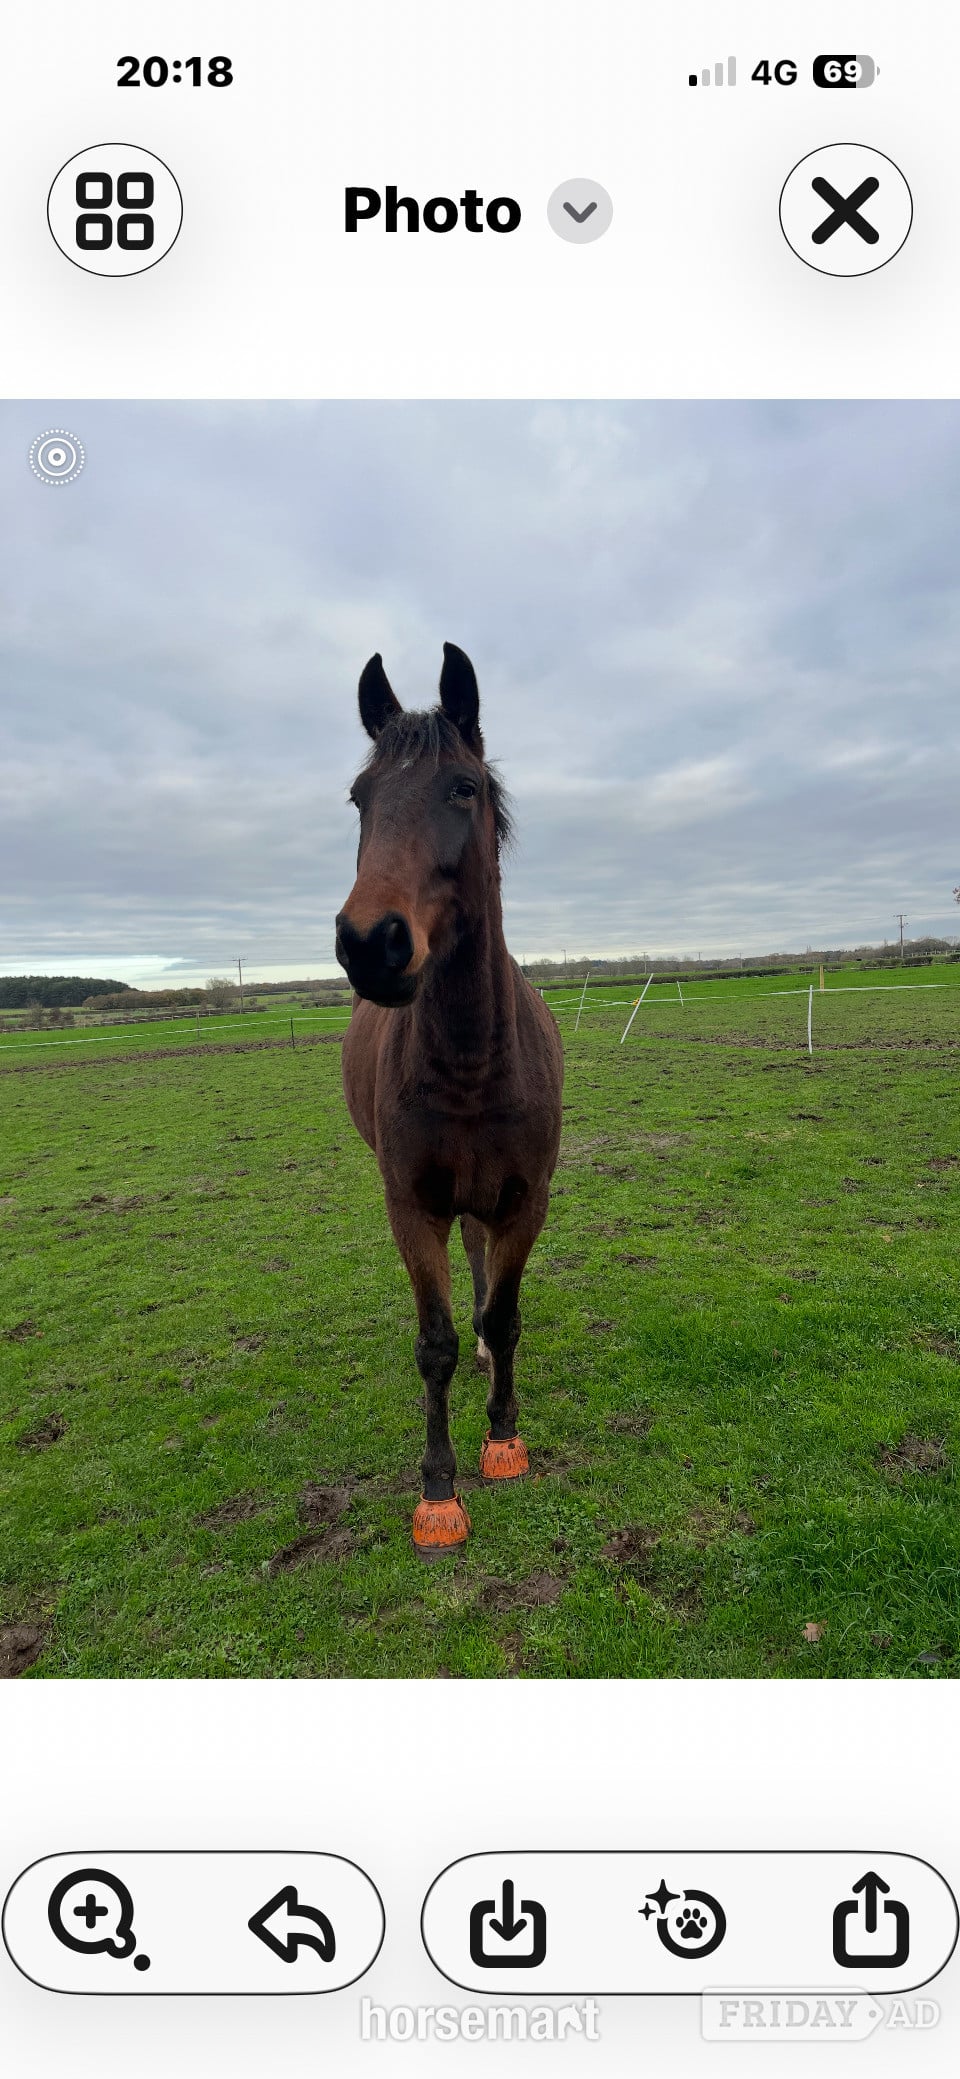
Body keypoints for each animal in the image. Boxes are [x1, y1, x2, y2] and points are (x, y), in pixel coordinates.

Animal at [335, 642, 564, 1557]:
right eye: (360, 797)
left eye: (462, 788)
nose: (371, 942)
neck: (472, 1061)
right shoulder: (411, 1205)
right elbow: (430, 1344)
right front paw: (438, 1489)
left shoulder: (527, 1199)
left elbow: (505, 1316)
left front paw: (503, 1436)